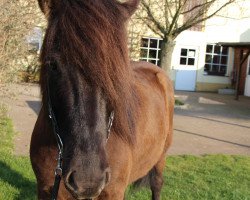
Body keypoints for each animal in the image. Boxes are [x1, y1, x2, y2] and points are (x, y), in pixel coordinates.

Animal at [29, 0, 174, 200]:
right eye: (53, 64)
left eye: (117, 68)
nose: (87, 178)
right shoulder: (44, 189)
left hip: (161, 157)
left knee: (157, 184)